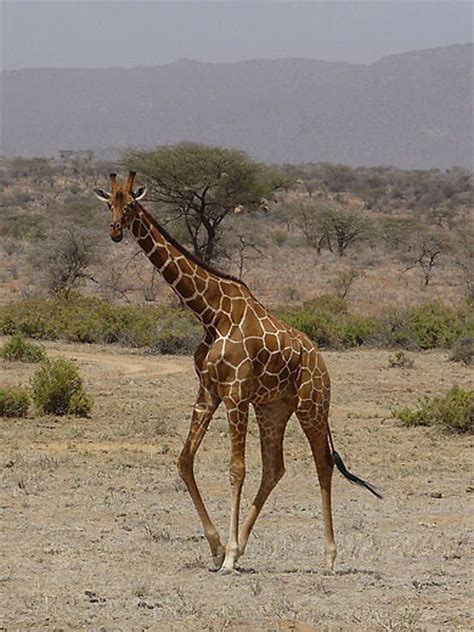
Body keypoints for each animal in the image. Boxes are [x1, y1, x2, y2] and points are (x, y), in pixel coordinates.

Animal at [94, 170, 380, 576]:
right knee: (274, 468)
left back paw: (328, 556)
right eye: (109, 204)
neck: (210, 313)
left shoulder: (235, 394)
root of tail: (320, 360)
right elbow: (184, 461)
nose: (116, 231)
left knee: (322, 464)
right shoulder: (208, 392)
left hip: (312, 405)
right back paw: (245, 546)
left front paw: (226, 556)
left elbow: (235, 469)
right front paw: (218, 549)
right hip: (273, 408)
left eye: (131, 204)